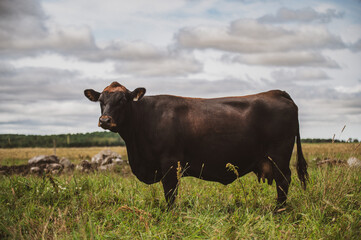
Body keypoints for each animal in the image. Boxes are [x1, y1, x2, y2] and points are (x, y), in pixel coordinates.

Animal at [84, 81, 306, 207]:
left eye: (122, 100)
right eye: (101, 101)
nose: (105, 120)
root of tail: (276, 92)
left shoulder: (170, 162)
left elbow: (170, 193)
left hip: (279, 156)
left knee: (284, 181)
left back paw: (278, 210)